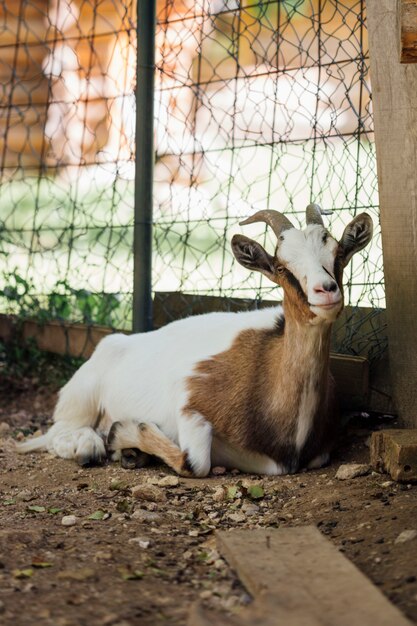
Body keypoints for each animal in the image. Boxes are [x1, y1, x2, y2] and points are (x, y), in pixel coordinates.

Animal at [17, 204, 374, 472]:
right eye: (282, 268)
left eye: (338, 256)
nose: (326, 291)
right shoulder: (190, 402)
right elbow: (197, 462)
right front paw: (123, 433)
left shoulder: (320, 452)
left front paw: (129, 444)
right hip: (82, 392)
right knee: (58, 430)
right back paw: (88, 445)